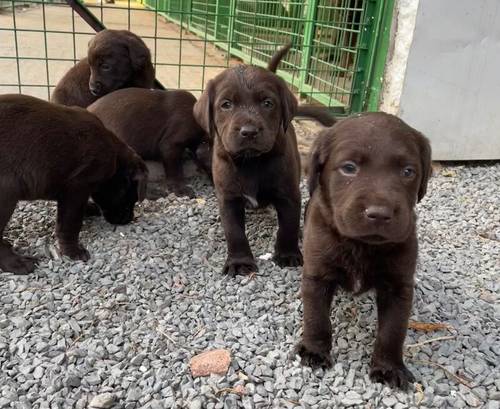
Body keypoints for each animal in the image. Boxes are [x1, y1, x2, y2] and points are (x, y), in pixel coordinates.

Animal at [0, 95, 147, 274]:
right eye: (129, 198)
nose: (129, 219)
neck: (116, 158)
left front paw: (90, 208)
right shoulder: (77, 187)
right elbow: (70, 223)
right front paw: (73, 251)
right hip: (6, 194)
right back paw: (16, 262)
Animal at [193, 46, 302, 276]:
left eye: (267, 103)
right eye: (226, 104)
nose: (249, 131)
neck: (251, 162)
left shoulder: (288, 193)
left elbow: (289, 225)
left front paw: (287, 254)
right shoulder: (229, 198)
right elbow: (234, 232)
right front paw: (240, 262)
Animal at [294, 112, 432, 388]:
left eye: (408, 171)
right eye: (349, 168)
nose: (379, 214)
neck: (361, 245)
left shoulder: (398, 287)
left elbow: (393, 330)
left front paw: (389, 367)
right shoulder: (317, 275)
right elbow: (317, 318)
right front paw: (315, 351)